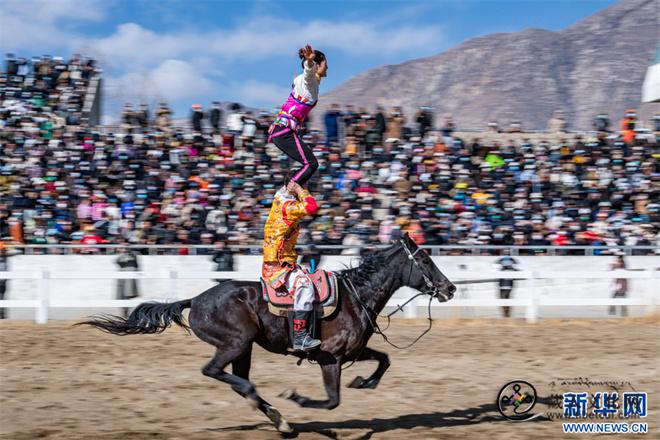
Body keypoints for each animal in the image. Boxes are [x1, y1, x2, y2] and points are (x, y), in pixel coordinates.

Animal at [80, 234, 456, 434]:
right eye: (425, 260)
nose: (449, 288)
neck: (355, 296)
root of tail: (196, 299)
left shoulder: (352, 352)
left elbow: (384, 359)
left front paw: (364, 381)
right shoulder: (329, 359)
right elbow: (331, 401)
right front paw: (298, 398)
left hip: (243, 349)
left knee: (235, 378)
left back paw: (279, 420)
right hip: (235, 344)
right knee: (215, 372)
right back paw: (277, 414)